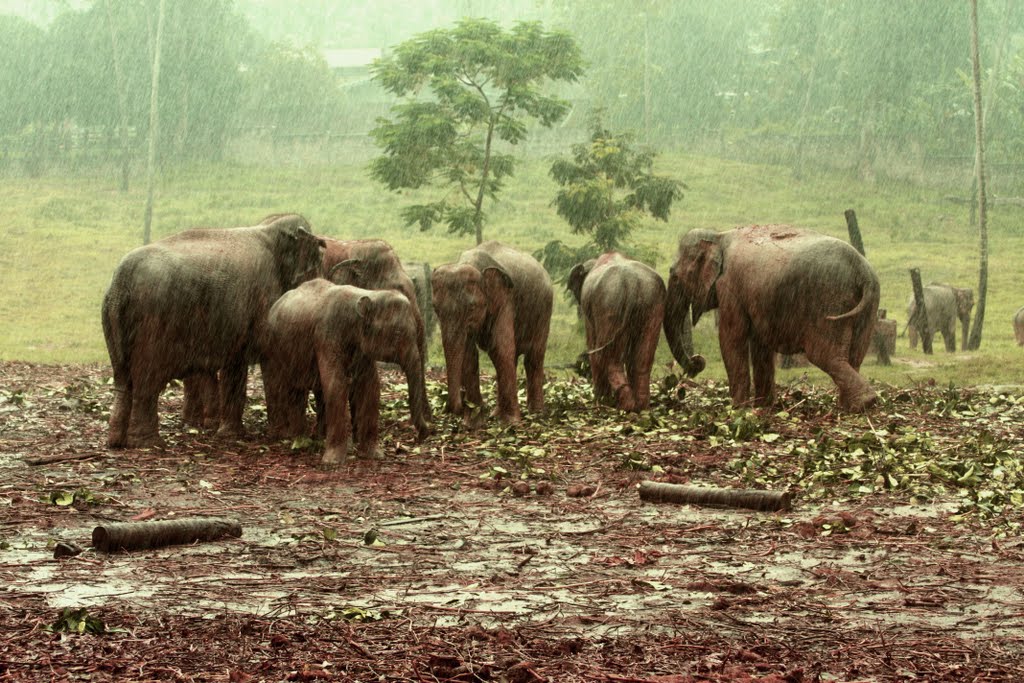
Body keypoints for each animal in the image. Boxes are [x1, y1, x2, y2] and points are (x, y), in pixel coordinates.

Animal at [101, 214, 325, 448]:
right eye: (318, 263)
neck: (269, 229)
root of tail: (120, 282)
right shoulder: (264, 298)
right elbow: (270, 362)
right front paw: (283, 436)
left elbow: (235, 365)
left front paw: (230, 435)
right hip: (152, 321)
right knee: (147, 380)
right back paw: (149, 443)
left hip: (112, 322)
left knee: (123, 379)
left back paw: (116, 442)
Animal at [262, 280, 430, 466]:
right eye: (397, 333)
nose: (424, 435)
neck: (367, 294)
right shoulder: (326, 335)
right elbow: (336, 384)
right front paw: (333, 461)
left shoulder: (361, 347)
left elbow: (371, 387)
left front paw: (374, 455)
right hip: (277, 348)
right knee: (294, 390)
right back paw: (300, 441)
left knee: (318, 391)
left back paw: (319, 438)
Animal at [432, 240, 552, 421]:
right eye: (435, 308)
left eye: (472, 307)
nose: (455, 409)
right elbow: (469, 354)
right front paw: (475, 415)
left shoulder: (506, 299)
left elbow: (500, 347)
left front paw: (510, 422)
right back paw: (496, 414)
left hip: (544, 311)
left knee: (533, 357)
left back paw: (536, 413)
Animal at [565, 250, 667, 411]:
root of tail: (632, 283)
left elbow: (592, 345)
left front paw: (599, 402)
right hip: (654, 306)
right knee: (643, 358)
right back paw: (640, 406)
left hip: (609, 305)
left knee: (607, 357)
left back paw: (618, 405)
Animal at [663, 227, 880, 413]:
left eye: (675, 276)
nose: (697, 361)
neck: (719, 236)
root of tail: (863, 273)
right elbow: (760, 345)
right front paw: (763, 407)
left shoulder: (730, 288)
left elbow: (731, 339)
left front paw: (738, 409)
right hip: (868, 308)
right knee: (854, 356)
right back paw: (850, 406)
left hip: (828, 300)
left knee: (824, 355)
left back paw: (864, 403)